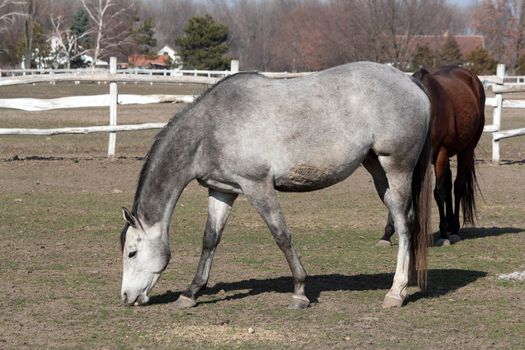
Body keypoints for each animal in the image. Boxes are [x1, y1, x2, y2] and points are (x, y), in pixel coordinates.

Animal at [121, 62, 432, 308]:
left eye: (131, 252)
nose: (126, 297)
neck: (211, 128)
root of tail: (410, 82)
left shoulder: (257, 186)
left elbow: (281, 235)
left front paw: (300, 292)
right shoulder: (222, 190)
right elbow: (210, 239)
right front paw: (191, 293)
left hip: (397, 167)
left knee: (404, 224)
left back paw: (396, 292)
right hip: (377, 170)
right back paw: (407, 281)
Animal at [376, 65, 484, 246]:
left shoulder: (440, 153)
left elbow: (439, 192)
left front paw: (443, 235)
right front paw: (386, 234)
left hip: (466, 150)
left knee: (458, 186)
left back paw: (453, 229)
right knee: (448, 183)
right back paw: (449, 226)